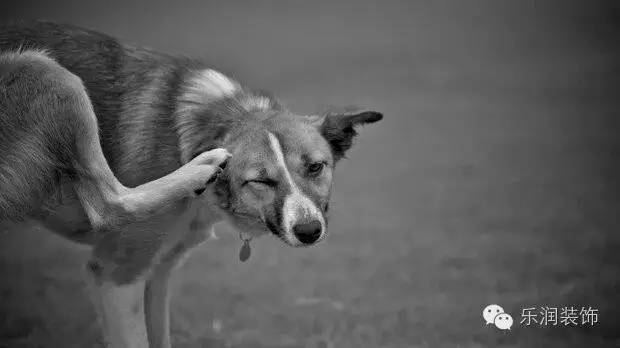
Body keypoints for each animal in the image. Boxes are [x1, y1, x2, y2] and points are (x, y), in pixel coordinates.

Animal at [0, 21, 382, 348]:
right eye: (261, 180)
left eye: (316, 167)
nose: (308, 231)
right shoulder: (115, 276)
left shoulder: (157, 274)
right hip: (43, 68)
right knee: (108, 205)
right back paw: (200, 167)